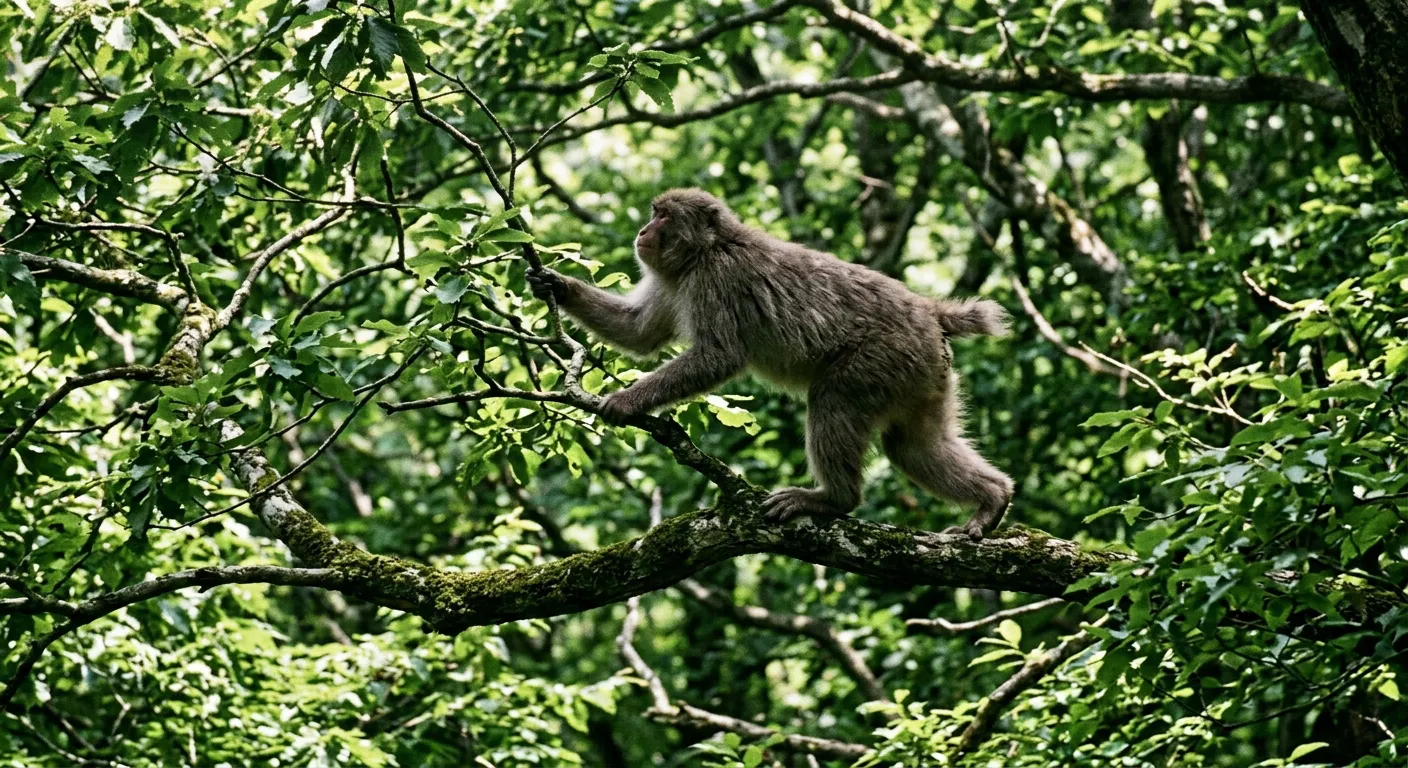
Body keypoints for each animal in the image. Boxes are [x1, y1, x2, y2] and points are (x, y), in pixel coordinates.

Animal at [528, 188, 1014, 540]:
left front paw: (628, 401)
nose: (645, 229)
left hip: (885, 357)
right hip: (925, 373)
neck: (708, 250)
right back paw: (993, 499)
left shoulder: (715, 280)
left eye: (663, 216)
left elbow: (718, 356)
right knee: (912, 446)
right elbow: (640, 332)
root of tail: (930, 312)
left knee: (833, 399)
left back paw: (834, 499)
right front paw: (556, 285)